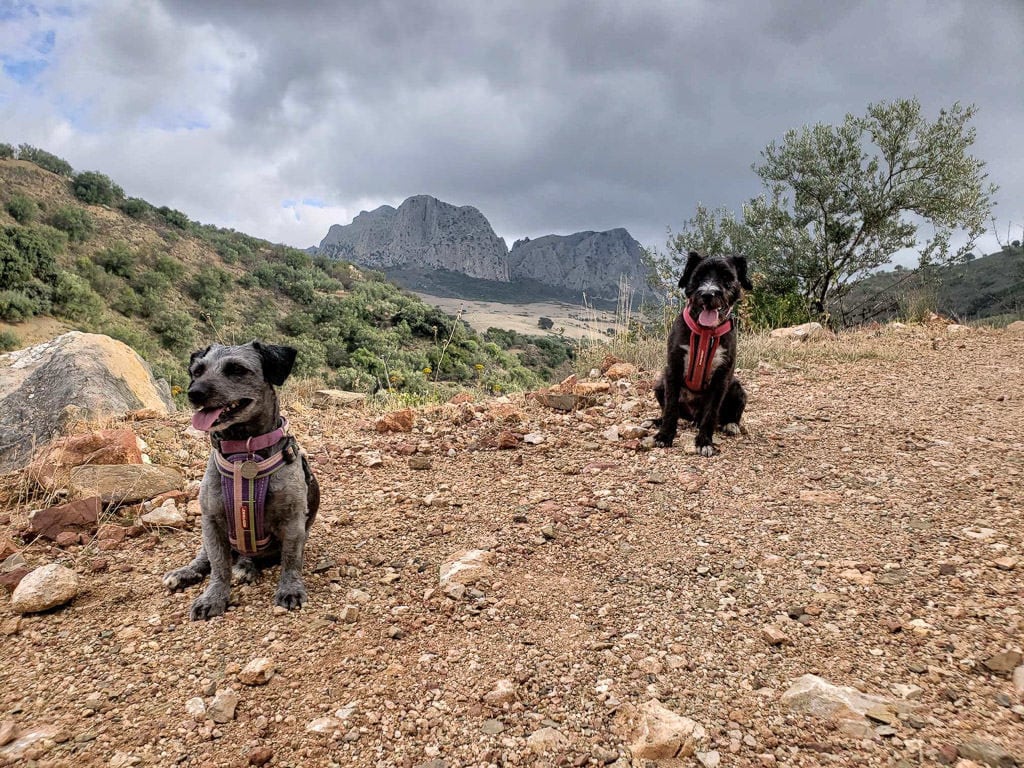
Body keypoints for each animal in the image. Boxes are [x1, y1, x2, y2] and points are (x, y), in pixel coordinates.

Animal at [163, 342, 319, 618]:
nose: (195, 393)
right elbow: (218, 566)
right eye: (197, 371)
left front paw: (290, 589)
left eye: (236, 369)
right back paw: (186, 573)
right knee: (205, 558)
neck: (244, 451)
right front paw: (213, 597)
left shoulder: (292, 522)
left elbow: (291, 560)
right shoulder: (212, 522)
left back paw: (246, 566)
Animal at [655, 252, 753, 456]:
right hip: (660, 384)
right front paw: (665, 435)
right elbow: (670, 408)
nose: (708, 294)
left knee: (725, 416)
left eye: (726, 277)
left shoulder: (721, 378)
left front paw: (704, 442)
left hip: (737, 388)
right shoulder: (673, 370)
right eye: (698, 276)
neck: (705, 332)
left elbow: (711, 413)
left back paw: (730, 425)